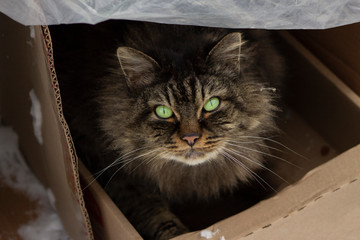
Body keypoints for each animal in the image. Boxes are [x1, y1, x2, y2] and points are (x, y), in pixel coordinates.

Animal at [51, 21, 284, 240]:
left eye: (211, 104)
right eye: (163, 111)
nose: (191, 138)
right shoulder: (115, 172)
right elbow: (154, 213)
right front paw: (176, 233)